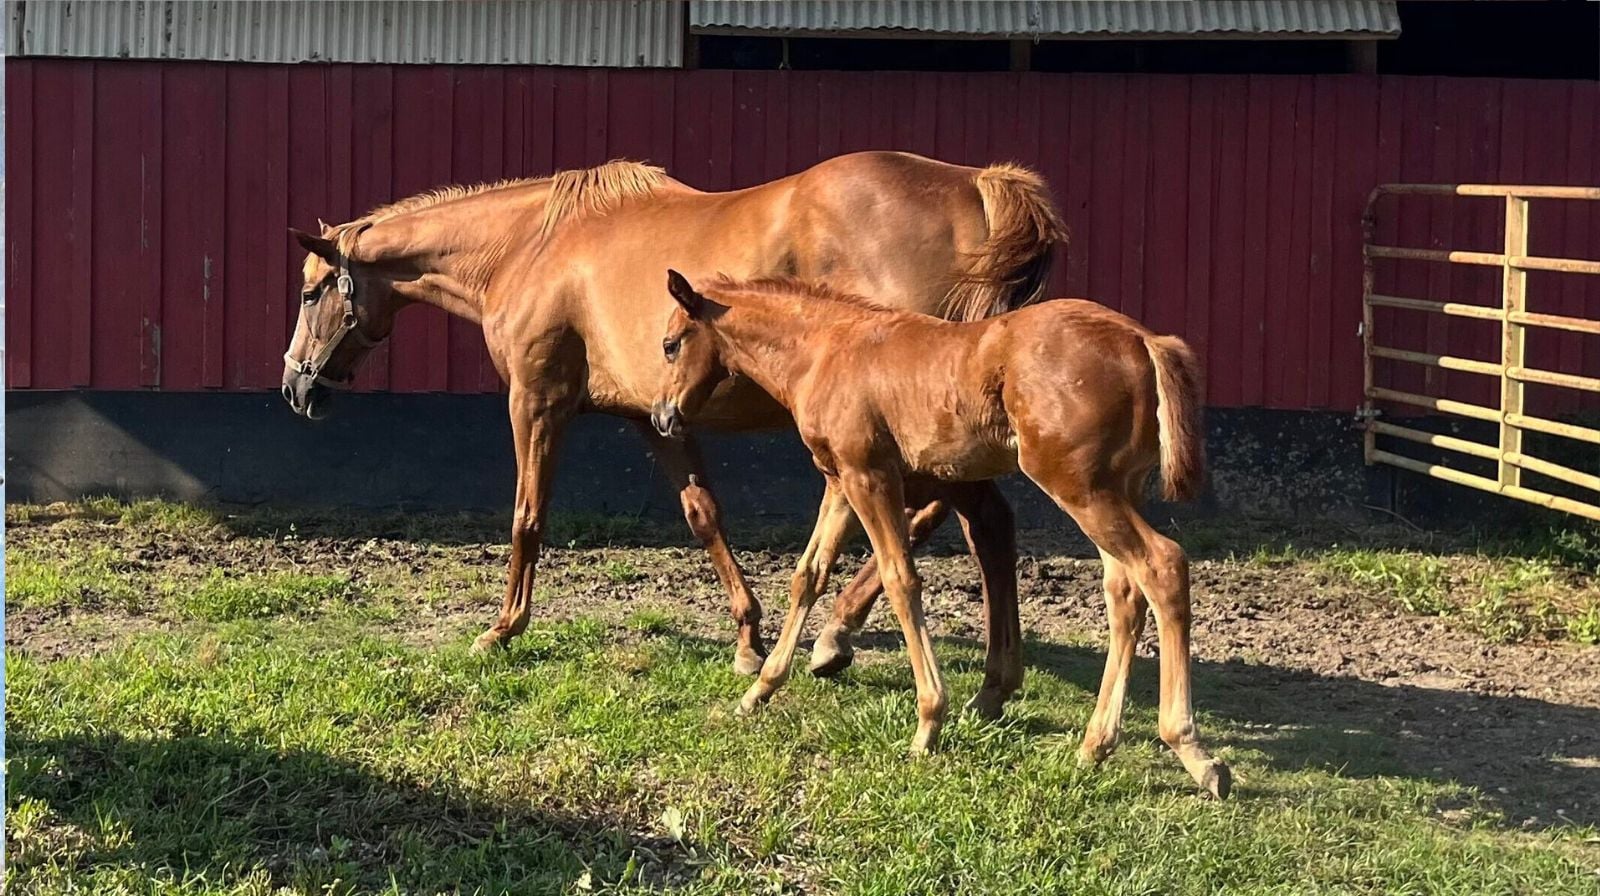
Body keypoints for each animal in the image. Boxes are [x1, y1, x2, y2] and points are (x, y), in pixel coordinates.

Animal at [282, 152, 1065, 683]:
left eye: (313, 292)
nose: (295, 386)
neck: (532, 245)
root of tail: (978, 185)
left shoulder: (535, 401)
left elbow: (527, 519)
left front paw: (504, 629)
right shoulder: (651, 417)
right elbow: (703, 514)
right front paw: (748, 637)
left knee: (930, 513)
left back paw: (837, 633)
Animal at [652, 271, 1230, 799]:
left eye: (670, 343)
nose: (662, 416)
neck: (824, 350)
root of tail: (1145, 341)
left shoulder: (870, 475)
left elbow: (900, 579)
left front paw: (928, 722)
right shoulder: (838, 480)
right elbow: (807, 575)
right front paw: (760, 690)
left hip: (1078, 485)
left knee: (1163, 565)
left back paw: (1191, 750)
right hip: (1115, 488)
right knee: (1125, 592)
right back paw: (1094, 745)